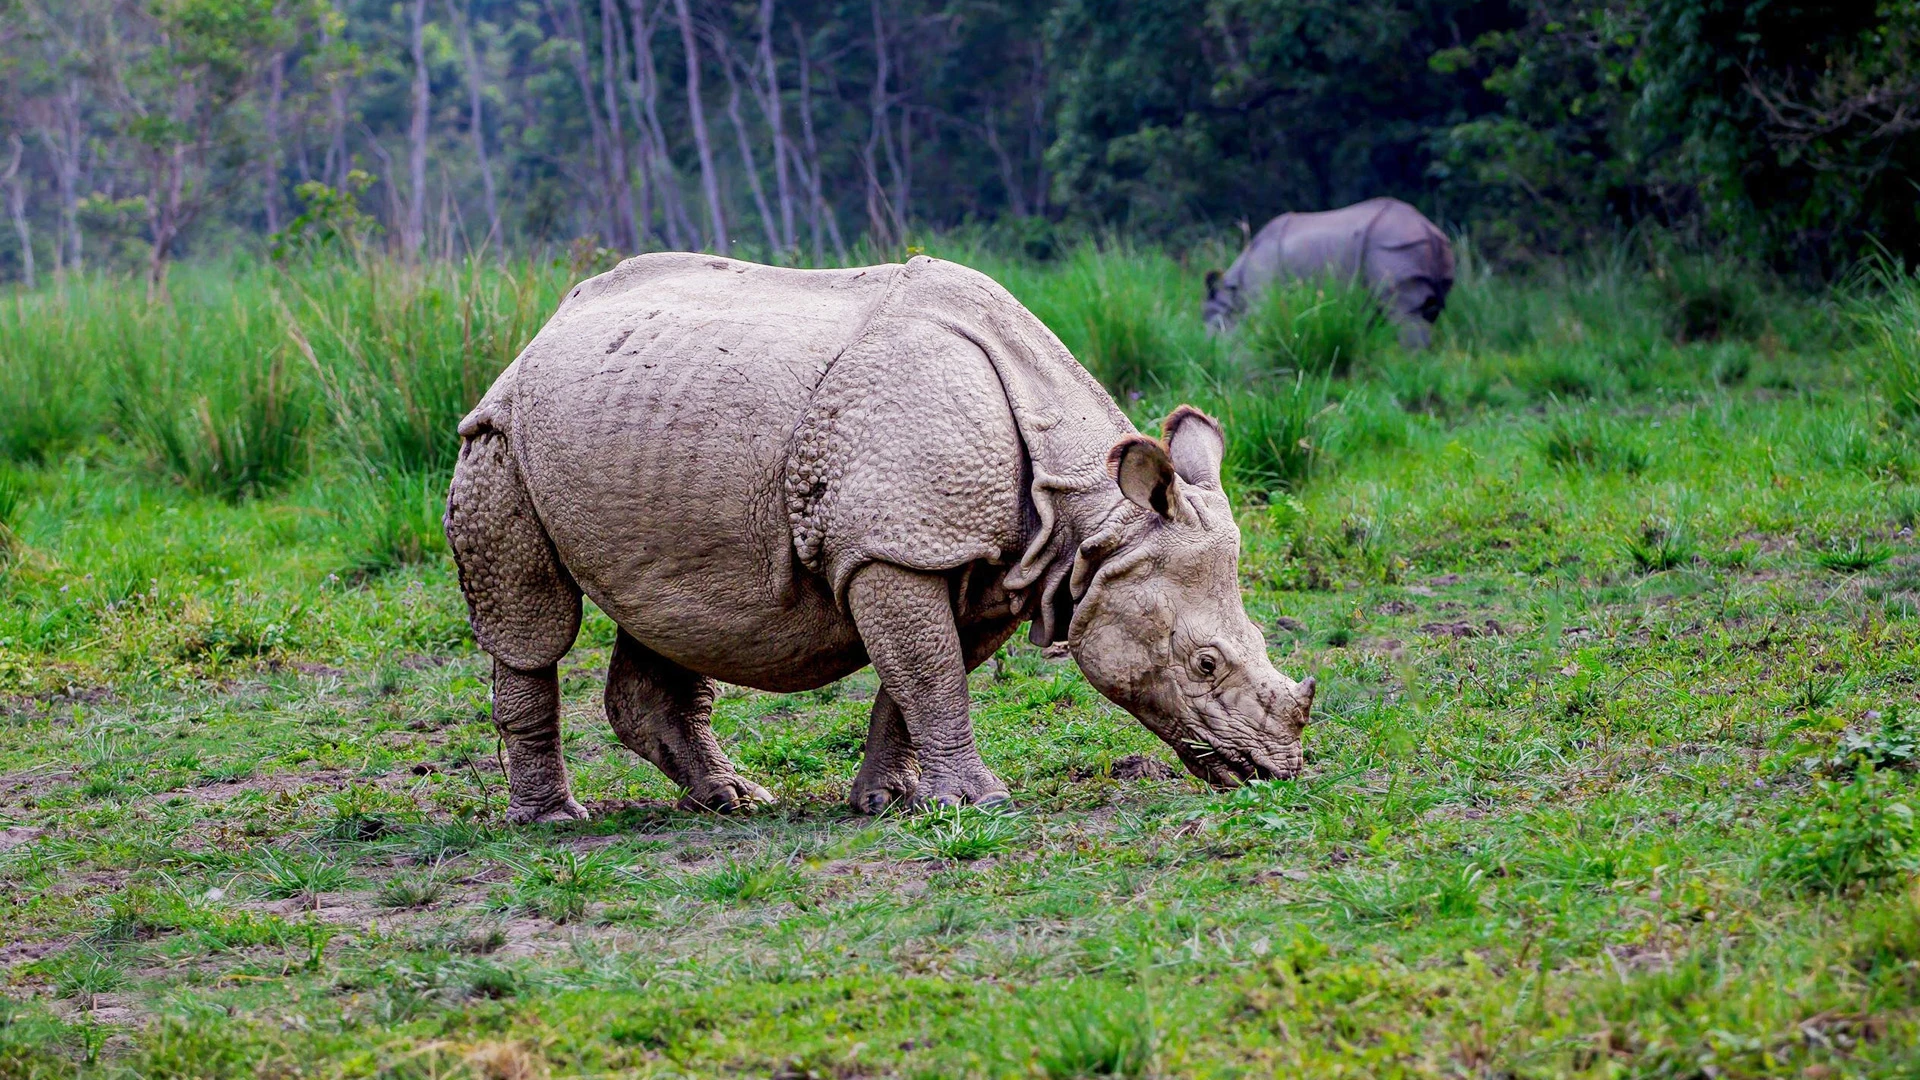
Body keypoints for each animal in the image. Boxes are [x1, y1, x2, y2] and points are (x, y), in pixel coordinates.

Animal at [445, 252, 1316, 822]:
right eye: (1204, 664)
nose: (1275, 772)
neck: (1091, 520)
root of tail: (546, 326)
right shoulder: (896, 548)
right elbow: (930, 672)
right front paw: (981, 803)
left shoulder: (994, 564)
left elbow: (922, 676)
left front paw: (892, 800)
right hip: (498, 433)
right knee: (536, 622)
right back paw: (556, 821)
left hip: (642, 430)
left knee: (667, 603)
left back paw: (732, 799)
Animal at [1203, 197, 1455, 348]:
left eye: (1215, 321)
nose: (1209, 345)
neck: (1233, 288)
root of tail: (1427, 228)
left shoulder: (1261, 292)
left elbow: (1254, 320)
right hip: (1417, 247)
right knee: (1428, 311)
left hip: (1394, 246)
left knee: (1404, 313)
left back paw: (1409, 359)